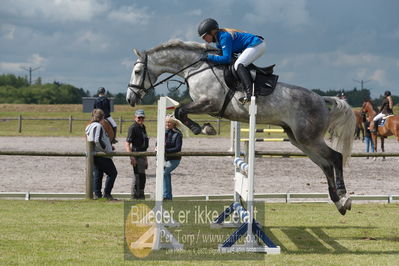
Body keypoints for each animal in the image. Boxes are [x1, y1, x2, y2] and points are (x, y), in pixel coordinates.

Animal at [127, 39, 356, 215]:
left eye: (137, 71)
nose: (130, 99)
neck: (196, 69)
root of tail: (321, 99)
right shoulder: (206, 106)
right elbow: (179, 112)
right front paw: (206, 127)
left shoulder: (209, 103)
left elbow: (180, 111)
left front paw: (204, 129)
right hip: (299, 139)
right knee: (325, 165)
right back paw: (338, 202)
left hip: (309, 138)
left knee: (335, 157)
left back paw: (345, 197)